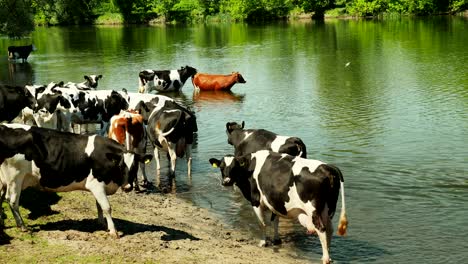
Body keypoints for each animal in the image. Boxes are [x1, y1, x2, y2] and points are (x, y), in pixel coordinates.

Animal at [0, 124, 151, 237]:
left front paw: (102, 223)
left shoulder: (100, 187)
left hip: (4, 179)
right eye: (120, 166)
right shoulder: (96, 184)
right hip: (15, 177)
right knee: (12, 200)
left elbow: (99, 205)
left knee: (1, 197)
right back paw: (22, 226)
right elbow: (107, 207)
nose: (127, 187)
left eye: (135, 166)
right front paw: (113, 231)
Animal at [208, 151, 348, 264]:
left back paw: (325, 259)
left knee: (321, 229)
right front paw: (276, 240)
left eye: (234, 167)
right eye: (221, 167)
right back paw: (328, 256)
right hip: (328, 208)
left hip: (314, 209)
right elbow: (275, 220)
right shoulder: (274, 200)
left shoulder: (256, 200)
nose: (226, 182)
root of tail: (328, 167)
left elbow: (262, 223)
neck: (249, 168)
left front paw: (263, 242)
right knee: (329, 229)